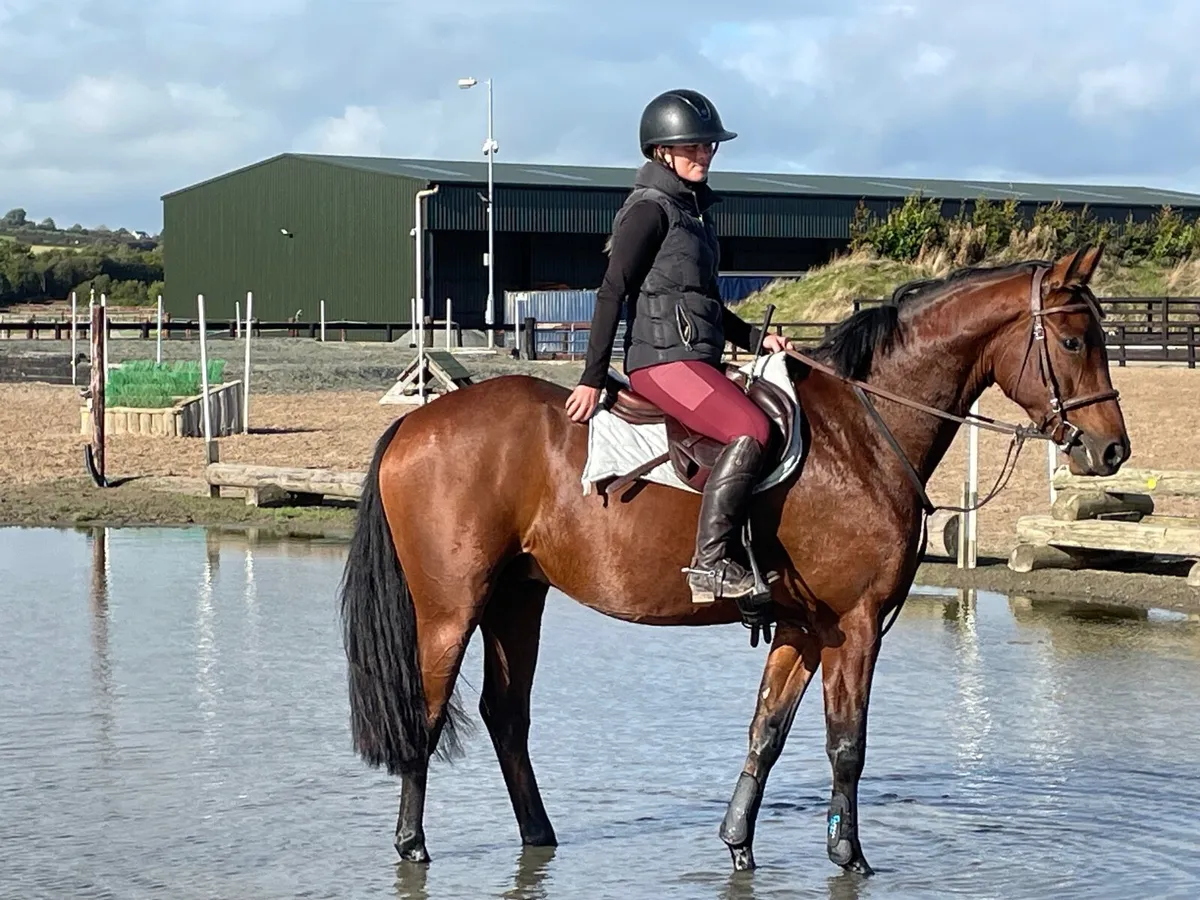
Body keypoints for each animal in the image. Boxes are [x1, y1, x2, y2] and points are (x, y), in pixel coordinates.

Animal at [338, 244, 1129, 875]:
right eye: (1071, 339)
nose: (1111, 449)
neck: (863, 431)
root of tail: (417, 420)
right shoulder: (856, 624)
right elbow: (847, 745)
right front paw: (849, 855)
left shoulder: (806, 628)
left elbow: (767, 733)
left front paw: (739, 842)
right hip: (451, 607)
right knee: (426, 713)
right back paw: (412, 843)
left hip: (515, 598)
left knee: (506, 716)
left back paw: (540, 835)